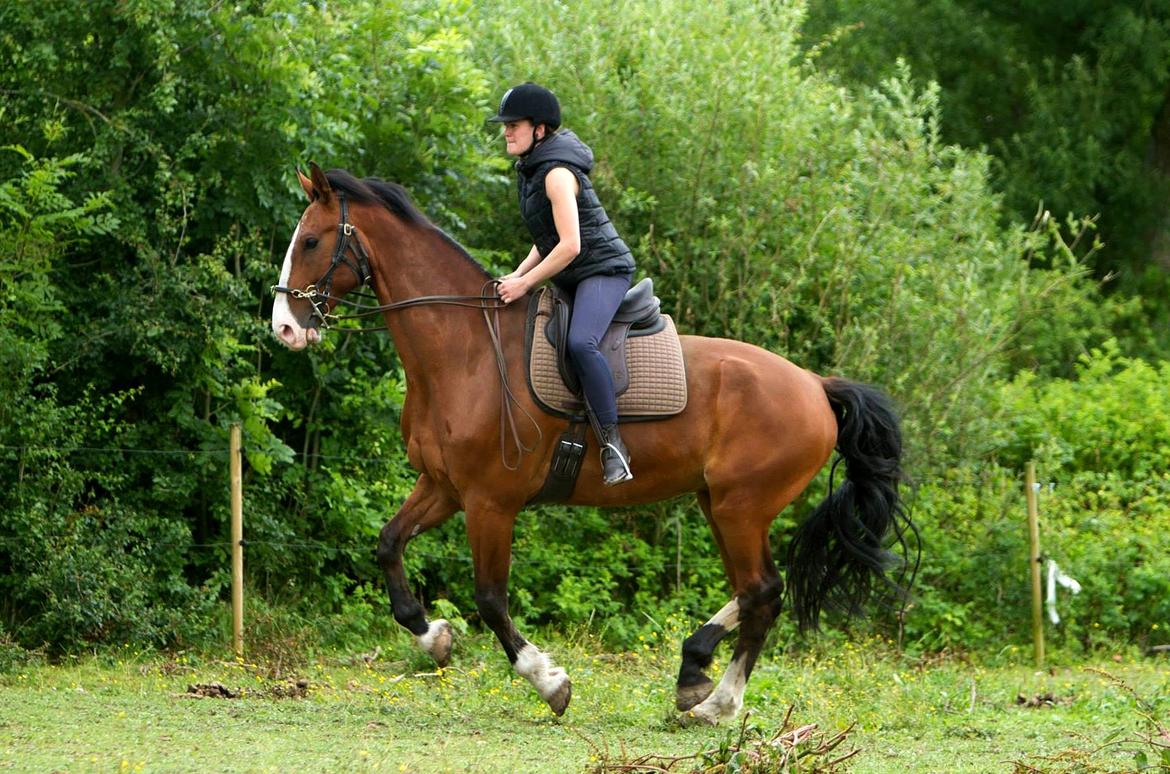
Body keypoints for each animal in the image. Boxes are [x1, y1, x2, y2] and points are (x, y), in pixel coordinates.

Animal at [269, 163, 907, 729]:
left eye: (311, 240)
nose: (284, 328)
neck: (466, 350)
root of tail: (817, 386)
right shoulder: (444, 487)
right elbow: (388, 547)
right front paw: (435, 638)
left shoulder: (490, 503)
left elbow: (490, 598)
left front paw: (549, 681)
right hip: (720, 505)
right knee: (757, 593)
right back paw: (696, 675)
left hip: (741, 507)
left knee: (763, 593)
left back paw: (716, 702)